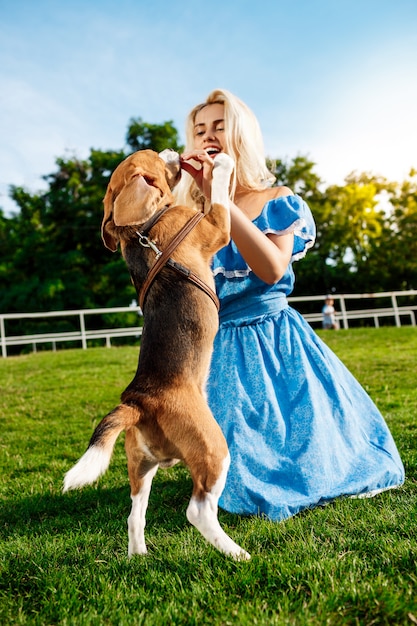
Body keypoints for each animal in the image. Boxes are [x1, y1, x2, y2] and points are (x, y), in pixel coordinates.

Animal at [63, 149, 249, 560]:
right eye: (151, 157)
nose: (173, 151)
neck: (141, 230)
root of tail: (140, 401)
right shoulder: (215, 225)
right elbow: (218, 198)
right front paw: (219, 166)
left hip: (141, 465)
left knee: (135, 515)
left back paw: (139, 555)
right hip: (213, 449)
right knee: (198, 510)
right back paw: (236, 552)